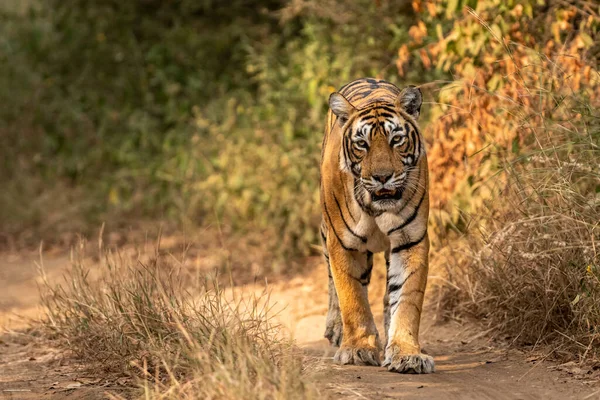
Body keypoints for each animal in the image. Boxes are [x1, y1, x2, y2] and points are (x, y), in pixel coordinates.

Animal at [322, 77, 434, 372]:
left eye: (397, 139)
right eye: (362, 143)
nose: (382, 177)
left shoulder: (410, 240)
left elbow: (406, 298)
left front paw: (406, 353)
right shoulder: (343, 244)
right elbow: (352, 297)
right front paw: (357, 349)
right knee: (333, 282)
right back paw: (336, 329)